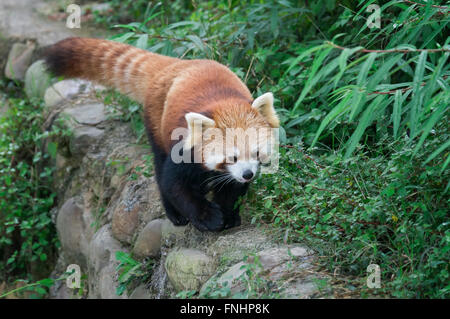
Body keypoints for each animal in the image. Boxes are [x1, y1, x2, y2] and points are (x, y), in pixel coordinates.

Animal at [44, 38, 278, 232]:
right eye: (232, 157)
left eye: (256, 153)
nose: (248, 174)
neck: (224, 104)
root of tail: (176, 65)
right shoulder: (184, 149)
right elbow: (173, 184)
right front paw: (207, 217)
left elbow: (231, 189)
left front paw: (229, 214)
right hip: (156, 122)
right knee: (159, 164)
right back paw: (174, 214)